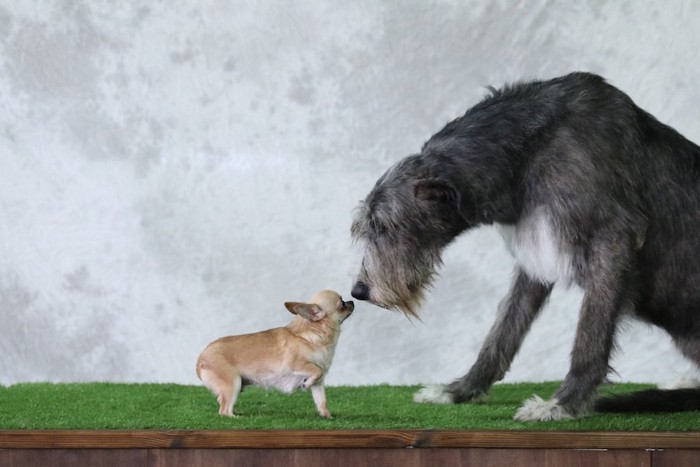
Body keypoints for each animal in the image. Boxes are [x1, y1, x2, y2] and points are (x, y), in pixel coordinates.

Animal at [196, 290, 350, 418]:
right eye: (342, 304)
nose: (352, 302)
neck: (309, 337)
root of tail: (201, 357)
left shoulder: (319, 383)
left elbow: (322, 401)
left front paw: (327, 416)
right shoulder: (296, 366)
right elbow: (316, 370)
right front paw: (305, 384)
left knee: (221, 401)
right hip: (233, 384)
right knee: (224, 410)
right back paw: (236, 417)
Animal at [352, 72, 700, 420]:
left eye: (386, 226)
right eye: (365, 229)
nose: (359, 291)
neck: (527, 151)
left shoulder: (613, 241)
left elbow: (590, 335)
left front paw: (565, 404)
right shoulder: (535, 252)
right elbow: (503, 330)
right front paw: (459, 390)